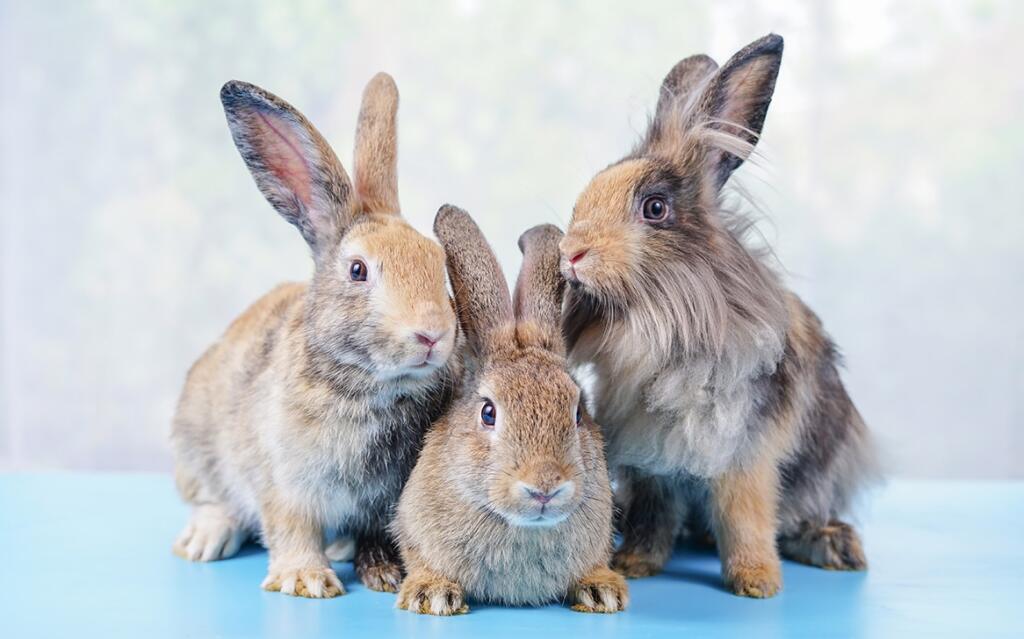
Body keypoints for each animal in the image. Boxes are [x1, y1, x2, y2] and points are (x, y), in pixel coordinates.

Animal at [170, 73, 461, 598]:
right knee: (211, 499)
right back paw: (204, 540)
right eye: (358, 270)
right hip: (194, 445)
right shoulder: (286, 485)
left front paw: (383, 572)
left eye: (437, 260)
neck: (370, 386)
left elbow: (376, 533)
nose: (432, 335)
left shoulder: (385, 501)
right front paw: (306, 580)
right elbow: (292, 528)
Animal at [557, 33, 879, 598]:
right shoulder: (651, 461)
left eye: (655, 208)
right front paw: (634, 563)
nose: (570, 254)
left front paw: (757, 581)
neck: (658, 328)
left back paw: (834, 544)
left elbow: (745, 516)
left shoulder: (745, 452)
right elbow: (654, 516)